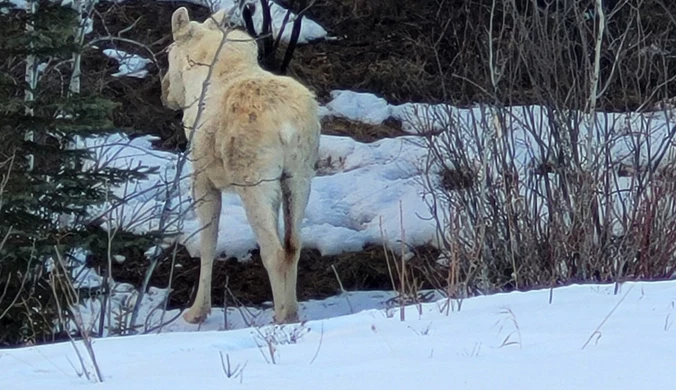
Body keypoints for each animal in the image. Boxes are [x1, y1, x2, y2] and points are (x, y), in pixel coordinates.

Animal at [163, 6, 322, 322]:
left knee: (273, 250)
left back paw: (280, 317)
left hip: (254, 181)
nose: (164, 90)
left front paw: (197, 311)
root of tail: (287, 127)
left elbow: (208, 243)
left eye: (169, 52)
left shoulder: (203, 179)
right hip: (299, 176)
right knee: (293, 244)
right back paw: (293, 312)